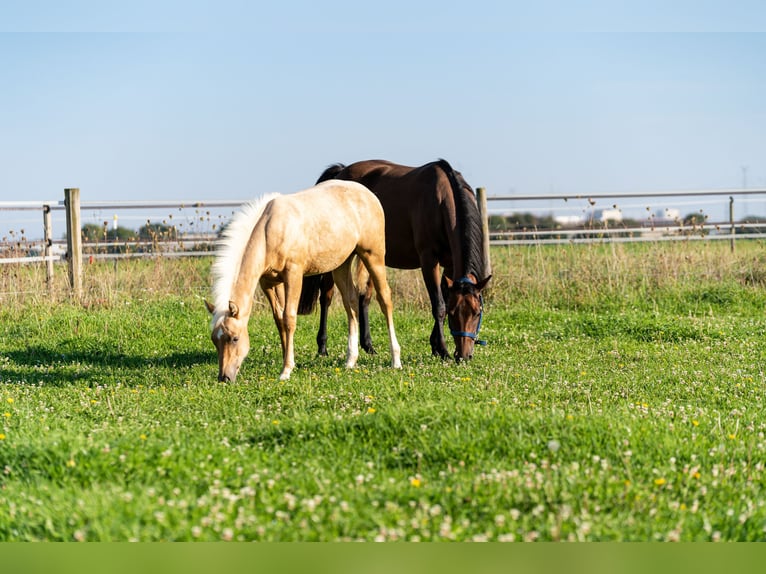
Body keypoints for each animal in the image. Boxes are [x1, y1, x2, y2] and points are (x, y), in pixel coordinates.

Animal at [206, 180, 402, 382]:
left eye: (234, 338)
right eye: (215, 340)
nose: (224, 377)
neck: (271, 229)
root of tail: (368, 194)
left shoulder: (293, 275)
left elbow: (289, 318)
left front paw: (286, 370)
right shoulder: (269, 283)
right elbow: (280, 319)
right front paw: (288, 360)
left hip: (373, 257)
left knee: (385, 299)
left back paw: (395, 360)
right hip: (342, 265)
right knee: (352, 303)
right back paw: (350, 361)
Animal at [298, 159, 491, 362]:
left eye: (477, 313)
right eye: (454, 313)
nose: (464, 356)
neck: (441, 201)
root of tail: (341, 172)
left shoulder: (450, 264)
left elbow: (444, 299)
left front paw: (435, 346)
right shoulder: (429, 260)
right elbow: (439, 305)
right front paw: (443, 350)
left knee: (364, 296)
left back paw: (368, 346)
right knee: (326, 296)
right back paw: (322, 347)